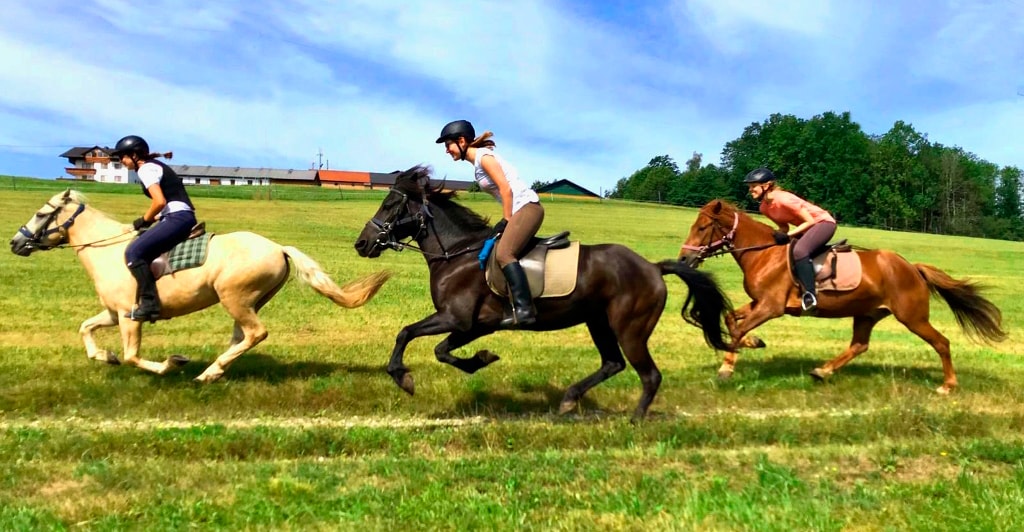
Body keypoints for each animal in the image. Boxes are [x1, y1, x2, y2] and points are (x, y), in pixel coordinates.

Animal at [9, 191, 389, 382]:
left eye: (41, 214)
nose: (15, 243)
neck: (108, 250)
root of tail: (278, 247)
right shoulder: (114, 313)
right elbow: (85, 328)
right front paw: (105, 356)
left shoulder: (131, 316)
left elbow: (133, 356)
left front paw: (170, 363)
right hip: (248, 301)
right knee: (242, 336)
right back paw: (214, 371)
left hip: (235, 298)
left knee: (256, 333)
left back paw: (207, 373)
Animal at [356, 165, 733, 419]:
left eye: (389, 204)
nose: (361, 244)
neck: (458, 253)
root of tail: (653, 268)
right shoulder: (475, 325)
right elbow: (441, 350)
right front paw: (482, 359)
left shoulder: (456, 318)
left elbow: (407, 333)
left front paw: (403, 378)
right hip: (598, 322)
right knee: (612, 363)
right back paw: (568, 399)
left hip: (630, 328)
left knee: (649, 375)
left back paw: (635, 420)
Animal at [675, 197, 1003, 392]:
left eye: (702, 227)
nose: (683, 260)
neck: (763, 253)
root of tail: (912, 267)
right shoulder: (760, 302)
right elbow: (733, 320)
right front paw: (753, 343)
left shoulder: (771, 306)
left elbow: (738, 327)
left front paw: (726, 368)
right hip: (867, 313)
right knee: (859, 345)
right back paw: (822, 371)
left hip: (912, 316)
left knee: (941, 342)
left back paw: (948, 385)